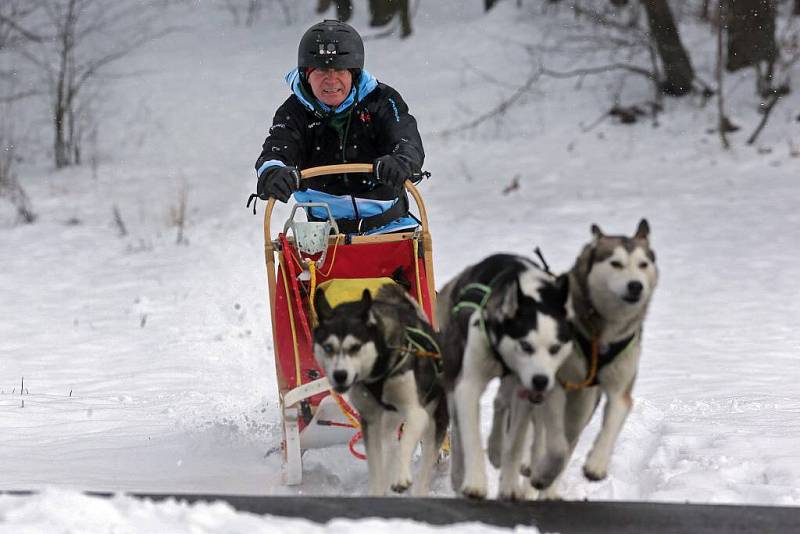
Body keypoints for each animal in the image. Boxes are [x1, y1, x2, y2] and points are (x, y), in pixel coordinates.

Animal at [314, 284, 450, 498]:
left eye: (355, 347)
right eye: (328, 347)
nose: (340, 375)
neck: (378, 374)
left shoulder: (416, 413)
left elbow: (405, 445)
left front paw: (401, 478)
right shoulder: (370, 421)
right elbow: (377, 464)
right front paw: (378, 489)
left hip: (434, 420)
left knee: (425, 462)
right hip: (388, 422)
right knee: (390, 445)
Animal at [438, 255, 576, 502]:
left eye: (555, 348)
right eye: (525, 345)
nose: (541, 380)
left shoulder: (523, 393)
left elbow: (515, 444)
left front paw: (510, 485)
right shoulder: (468, 385)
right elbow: (470, 437)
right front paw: (475, 483)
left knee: (501, 405)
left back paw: (497, 449)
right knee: (457, 427)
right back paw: (459, 473)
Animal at [496, 220, 660, 500]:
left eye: (643, 264)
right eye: (616, 263)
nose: (636, 285)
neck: (603, 334)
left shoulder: (619, 389)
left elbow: (613, 419)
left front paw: (596, 465)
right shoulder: (554, 384)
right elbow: (545, 438)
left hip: (582, 406)